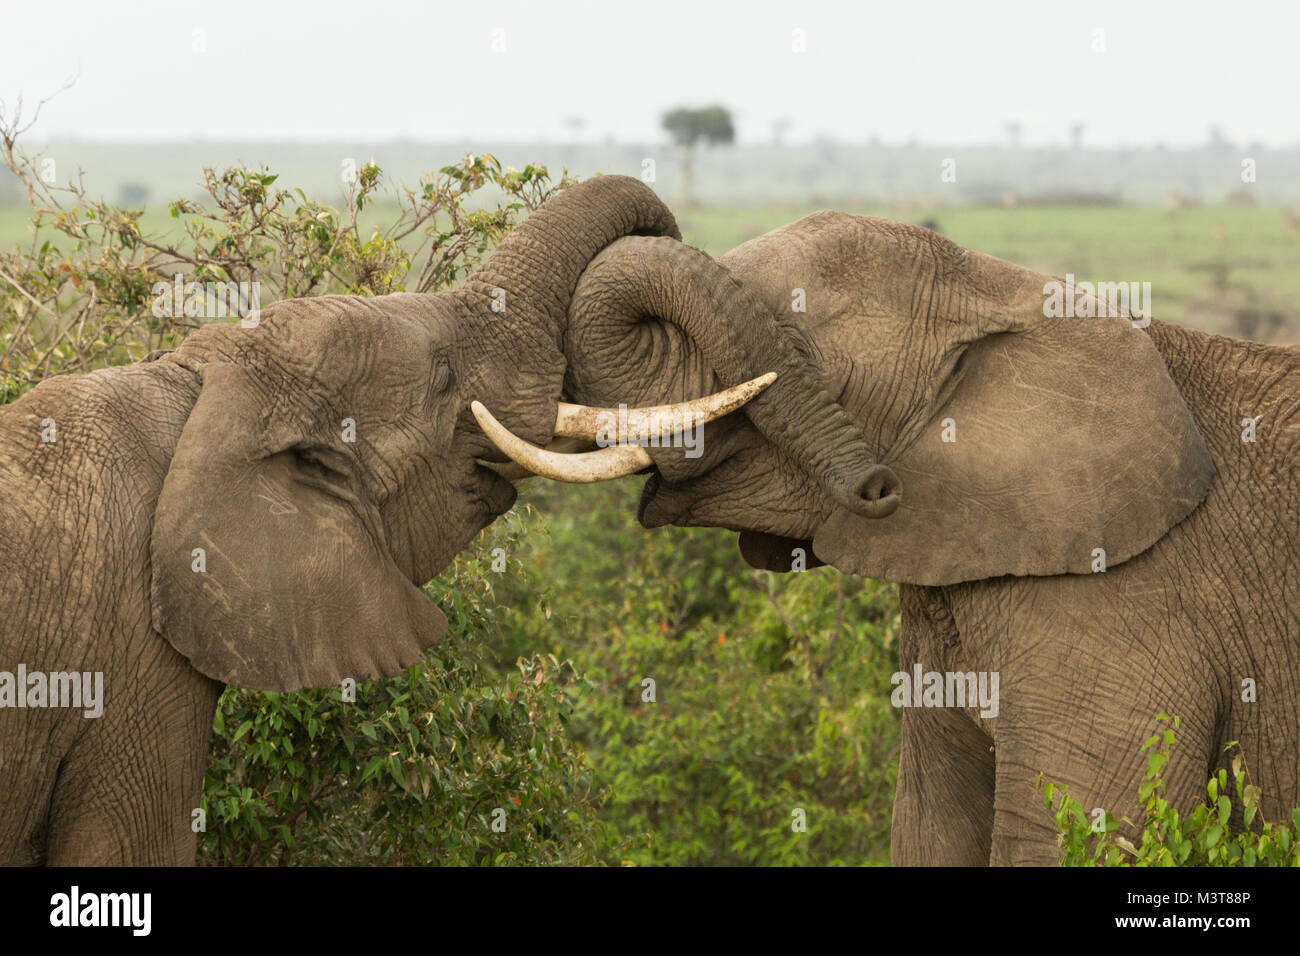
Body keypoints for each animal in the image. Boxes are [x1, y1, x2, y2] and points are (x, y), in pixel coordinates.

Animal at [483, 214, 1300, 866]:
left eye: (793, 340)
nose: (875, 487)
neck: (1003, 292)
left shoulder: (1127, 607)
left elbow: (1073, 835)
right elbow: (930, 829)